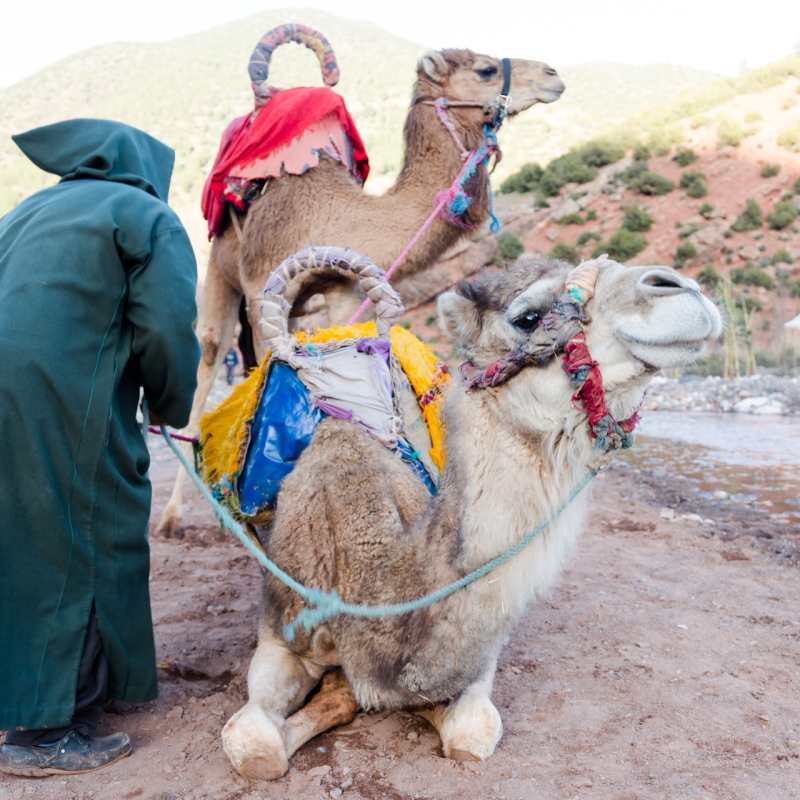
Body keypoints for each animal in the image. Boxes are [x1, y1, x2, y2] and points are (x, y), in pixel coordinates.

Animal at [157, 34, 566, 536]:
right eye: (486, 70)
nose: (553, 75)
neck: (335, 214)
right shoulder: (258, 286)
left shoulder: (342, 291)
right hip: (218, 264)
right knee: (211, 356)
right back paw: (176, 513)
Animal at [220, 250, 723, 779]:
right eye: (528, 317)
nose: (683, 288)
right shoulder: (279, 634)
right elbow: (256, 748)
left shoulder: (479, 654)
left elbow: (469, 732)